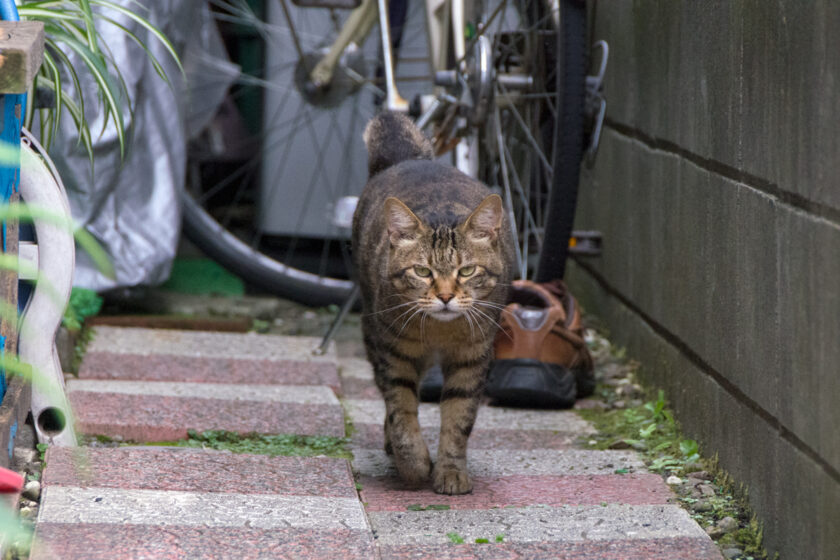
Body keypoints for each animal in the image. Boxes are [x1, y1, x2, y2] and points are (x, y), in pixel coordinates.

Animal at [352, 112, 516, 494]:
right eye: (422, 271)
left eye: (467, 270)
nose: (444, 296)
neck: (443, 333)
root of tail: (408, 159)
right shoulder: (394, 353)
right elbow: (401, 409)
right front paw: (413, 464)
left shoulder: (473, 357)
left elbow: (458, 418)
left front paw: (451, 471)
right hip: (371, 330)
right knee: (386, 395)